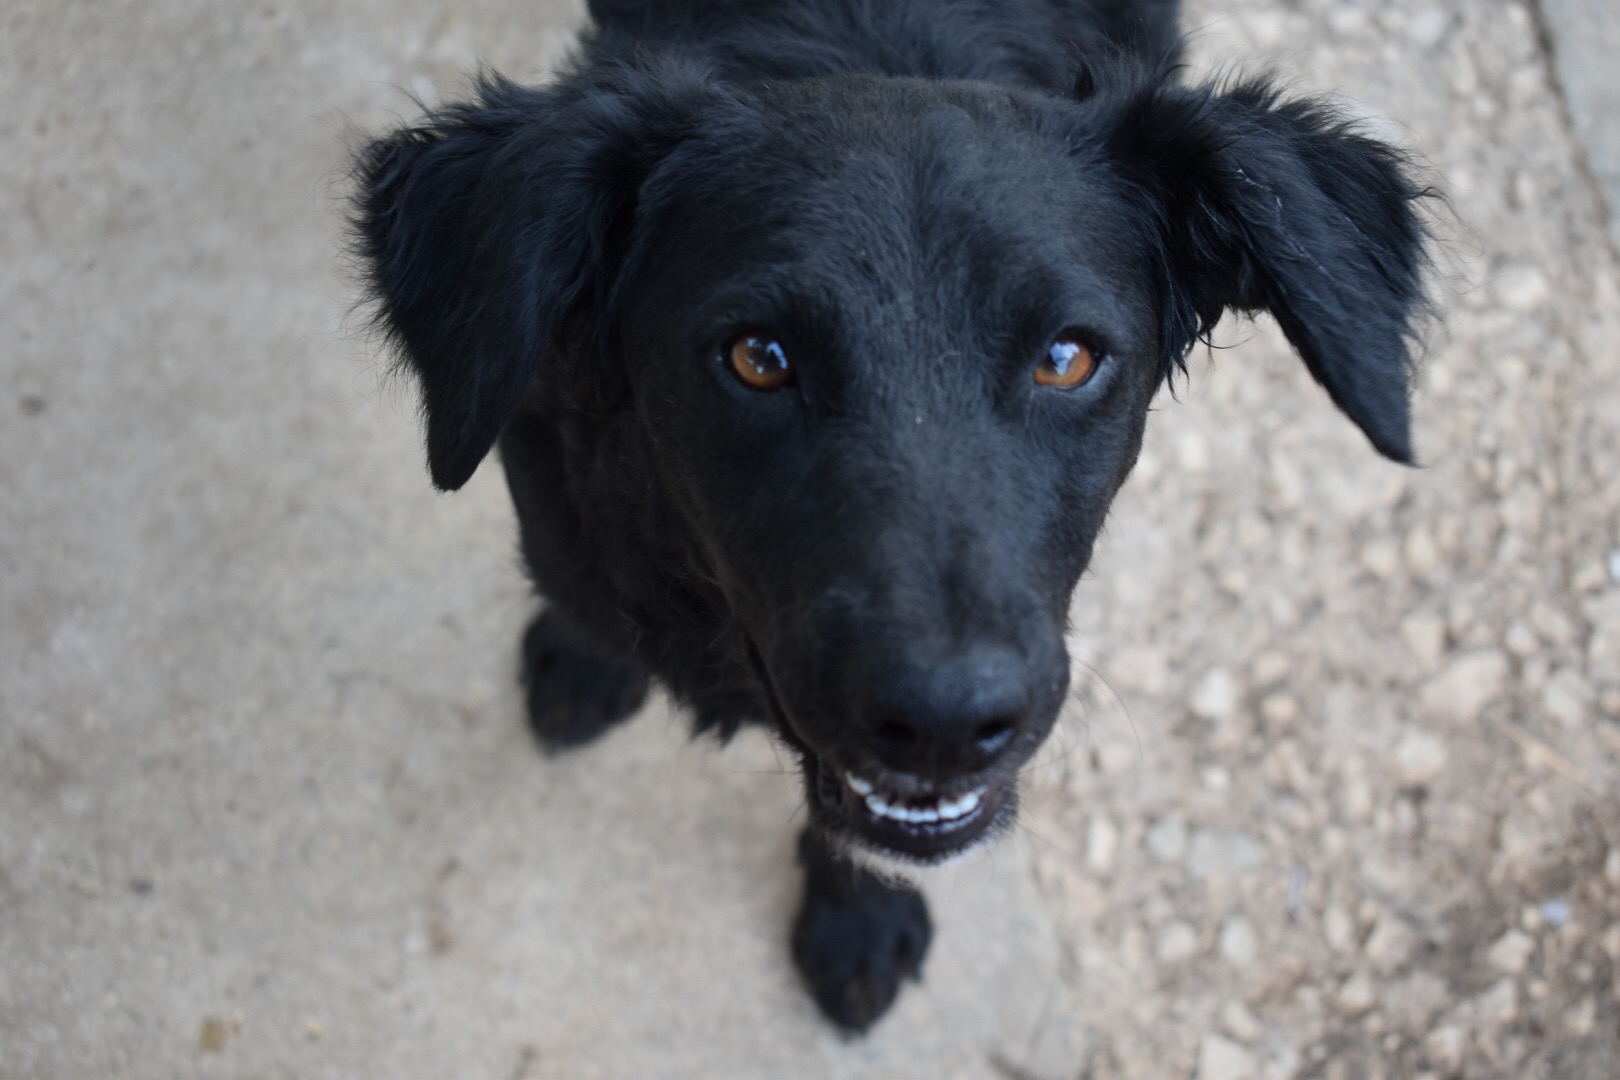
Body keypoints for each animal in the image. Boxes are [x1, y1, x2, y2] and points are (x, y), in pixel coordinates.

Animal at [352, 0, 1430, 1030]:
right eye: (758, 357)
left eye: (1067, 357)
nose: (946, 724)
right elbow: (578, 582)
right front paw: (585, 657)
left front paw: (857, 921)